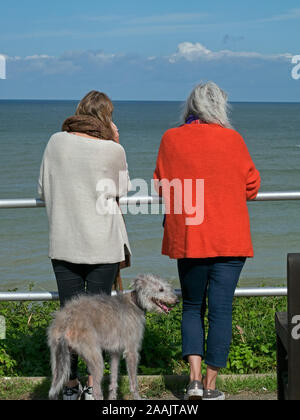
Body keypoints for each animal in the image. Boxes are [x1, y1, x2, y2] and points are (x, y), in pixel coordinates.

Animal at [47, 272, 178, 400]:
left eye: (168, 287)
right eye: (161, 289)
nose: (177, 301)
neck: (135, 302)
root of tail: (66, 322)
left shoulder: (115, 352)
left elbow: (114, 379)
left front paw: (113, 397)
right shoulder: (131, 351)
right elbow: (133, 382)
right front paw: (137, 397)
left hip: (57, 360)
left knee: (53, 391)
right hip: (95, 359)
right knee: (96, 391)